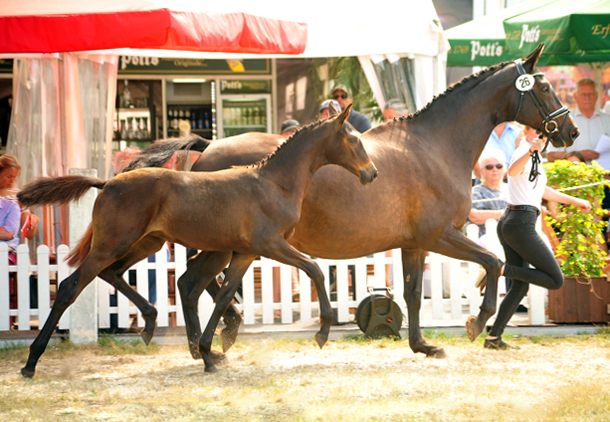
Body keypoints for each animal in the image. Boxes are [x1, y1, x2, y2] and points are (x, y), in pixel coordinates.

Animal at [16, 104, 376, 376]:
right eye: (354, 139)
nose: (371, 173)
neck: (274, 183)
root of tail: (106, 183)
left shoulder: (244, 253)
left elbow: (225, 295)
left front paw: (207, 352)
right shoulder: (270, 245)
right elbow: (313, 269)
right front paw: (323, 331)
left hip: (145, 244)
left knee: (117, 274)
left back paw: (150, 323)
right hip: (112, 244)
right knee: (70, 287)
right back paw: (31, 361)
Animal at [135, 42, 576, 362]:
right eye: (543, 86)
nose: (569, 131)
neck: (434, 147)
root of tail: (208, 148)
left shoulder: (414, 244)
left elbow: (413, 294)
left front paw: (423, 346)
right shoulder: (439, 235)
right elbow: (493, 262)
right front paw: (476, 321)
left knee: (191, 283)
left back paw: (206, 343)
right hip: (226, 245)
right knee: (198, 284)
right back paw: (218, 336)